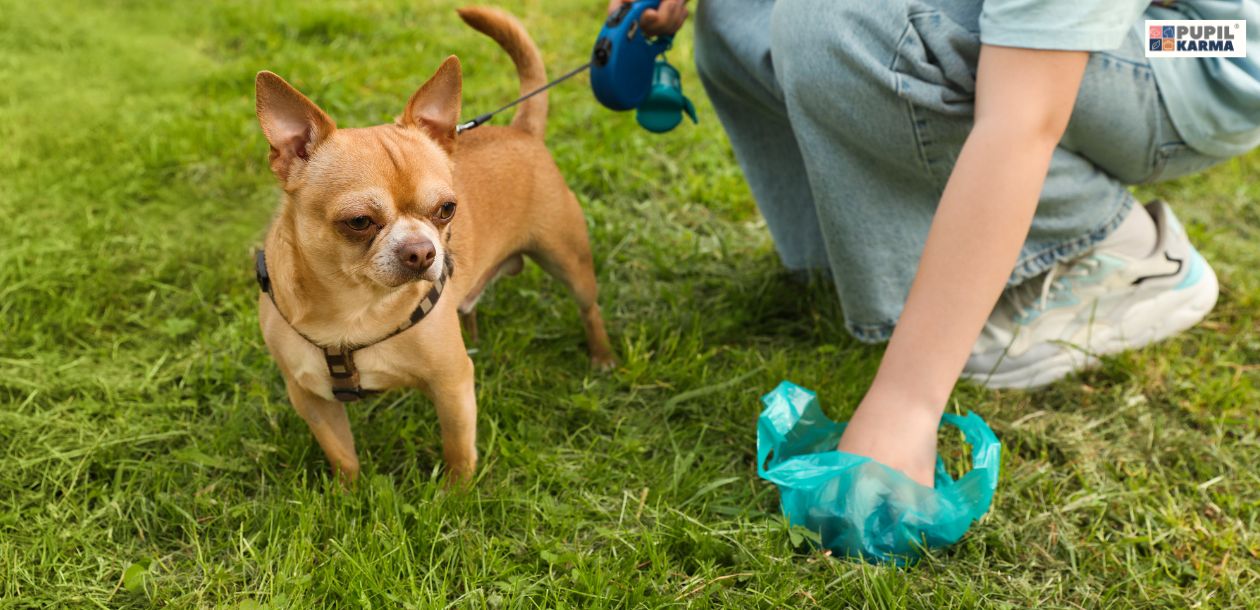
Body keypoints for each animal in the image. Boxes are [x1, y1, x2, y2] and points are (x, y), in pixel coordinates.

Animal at [252, 4, 614, 481]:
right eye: (359, 222)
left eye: (446, 209)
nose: (422, 251)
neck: (355, 310)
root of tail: (522, 130)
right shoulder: (311, 399)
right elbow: (342, 455)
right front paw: (350, 493)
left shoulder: (453, 384)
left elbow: (458, 446)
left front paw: (456, 493)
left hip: (568, 261)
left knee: (589, 308)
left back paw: (602, 356)